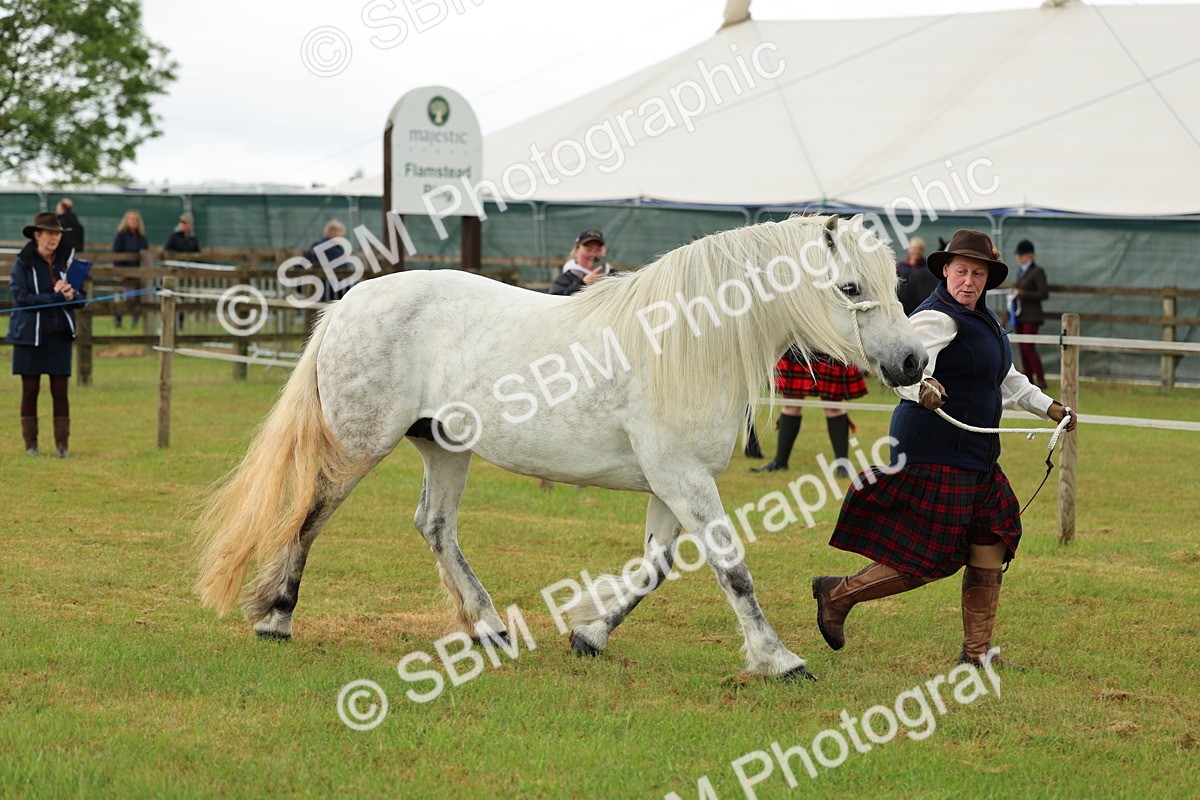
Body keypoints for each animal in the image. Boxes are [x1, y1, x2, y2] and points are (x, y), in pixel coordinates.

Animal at [194, 214, 926, 681]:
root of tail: (349, 302)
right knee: (310, 514)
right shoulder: (684, 479)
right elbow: (733, 569)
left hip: (445, 448)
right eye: (851, 287)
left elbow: (655, 568)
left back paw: (488, 627)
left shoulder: (670, 484)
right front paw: (779, 659)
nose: (914, 361)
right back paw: (276, 619)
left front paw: (590, 634)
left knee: (434, 526)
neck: (688, 341)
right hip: (360, 445)